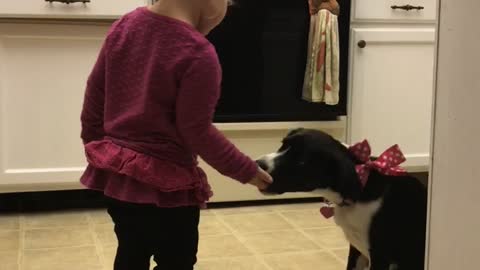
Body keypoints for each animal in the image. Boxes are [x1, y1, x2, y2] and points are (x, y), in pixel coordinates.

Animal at [256, 129, 426, 270]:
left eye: (301, 161)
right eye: (283, 144)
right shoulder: (356, 250)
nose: (258, 164)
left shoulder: (380, 255)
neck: (361, 186)